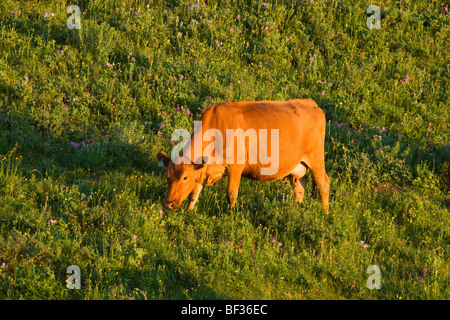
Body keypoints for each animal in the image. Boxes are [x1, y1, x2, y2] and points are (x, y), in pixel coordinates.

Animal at [158, 97, 330, 212]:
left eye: (184, 178)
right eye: (167, 176)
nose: (168, 203)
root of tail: (310, 103)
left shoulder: (235, 166)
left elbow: (231, 194)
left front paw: (230, 215)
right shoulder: (202, 169)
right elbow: (194, 193)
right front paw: (189, 212)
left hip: (316, 159)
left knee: (323, 184)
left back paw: (324, 213)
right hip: (297, 165)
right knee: (300, 185)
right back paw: (294, 211)